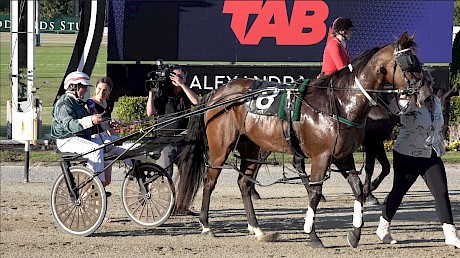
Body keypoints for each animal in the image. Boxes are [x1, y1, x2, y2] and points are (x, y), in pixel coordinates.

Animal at [175, 31, 424, 248]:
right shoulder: (322, 157)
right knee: (209, 181)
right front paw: (312, 236)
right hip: (221, 147)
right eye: (410, 61)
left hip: (253, 147)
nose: (423, 91)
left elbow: (357, 188)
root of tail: (218, 93)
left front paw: (355, 233)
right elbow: (315, 194)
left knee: (244, 184)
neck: (339, 103)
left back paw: (257, 228)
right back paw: (206, 225)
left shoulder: (344, 156)